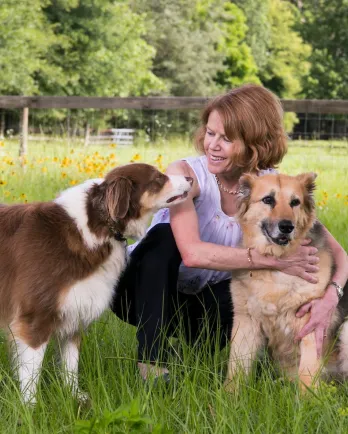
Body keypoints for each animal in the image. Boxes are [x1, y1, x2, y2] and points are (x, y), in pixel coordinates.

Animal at [0, 162, 193, 404]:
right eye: (158, 178)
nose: (190, 178)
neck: (97, 226)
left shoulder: (75, 310)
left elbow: (70, 365)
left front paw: (74, 396)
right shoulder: (35, 317)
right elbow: (31, 373)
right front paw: (31, 407)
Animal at [226, 172, 348, 390]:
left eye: (295, 202)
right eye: (268, 199)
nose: (286, 227)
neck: (278, 265)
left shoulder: (311, 325)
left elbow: (307, 374)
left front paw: (308, 399)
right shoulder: (246, 322)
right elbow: (236, 369)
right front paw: (228, 396)